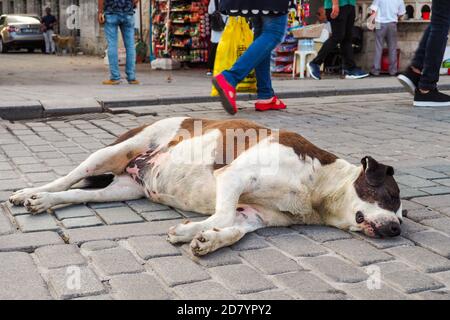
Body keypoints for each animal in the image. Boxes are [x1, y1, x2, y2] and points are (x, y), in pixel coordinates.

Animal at [8, 117, 402, 255]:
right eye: (391, 196)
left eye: (402, 212)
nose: (398, 229)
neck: (317, 189)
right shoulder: (234, 177)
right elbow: (223, 214)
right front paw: (192, 230)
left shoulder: (255, 215)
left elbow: (234, 228)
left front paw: (207, 238)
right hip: (113, 151)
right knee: (68, 177)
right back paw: (29, 193)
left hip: (124, 188)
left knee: (76, 192)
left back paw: (43, 201)